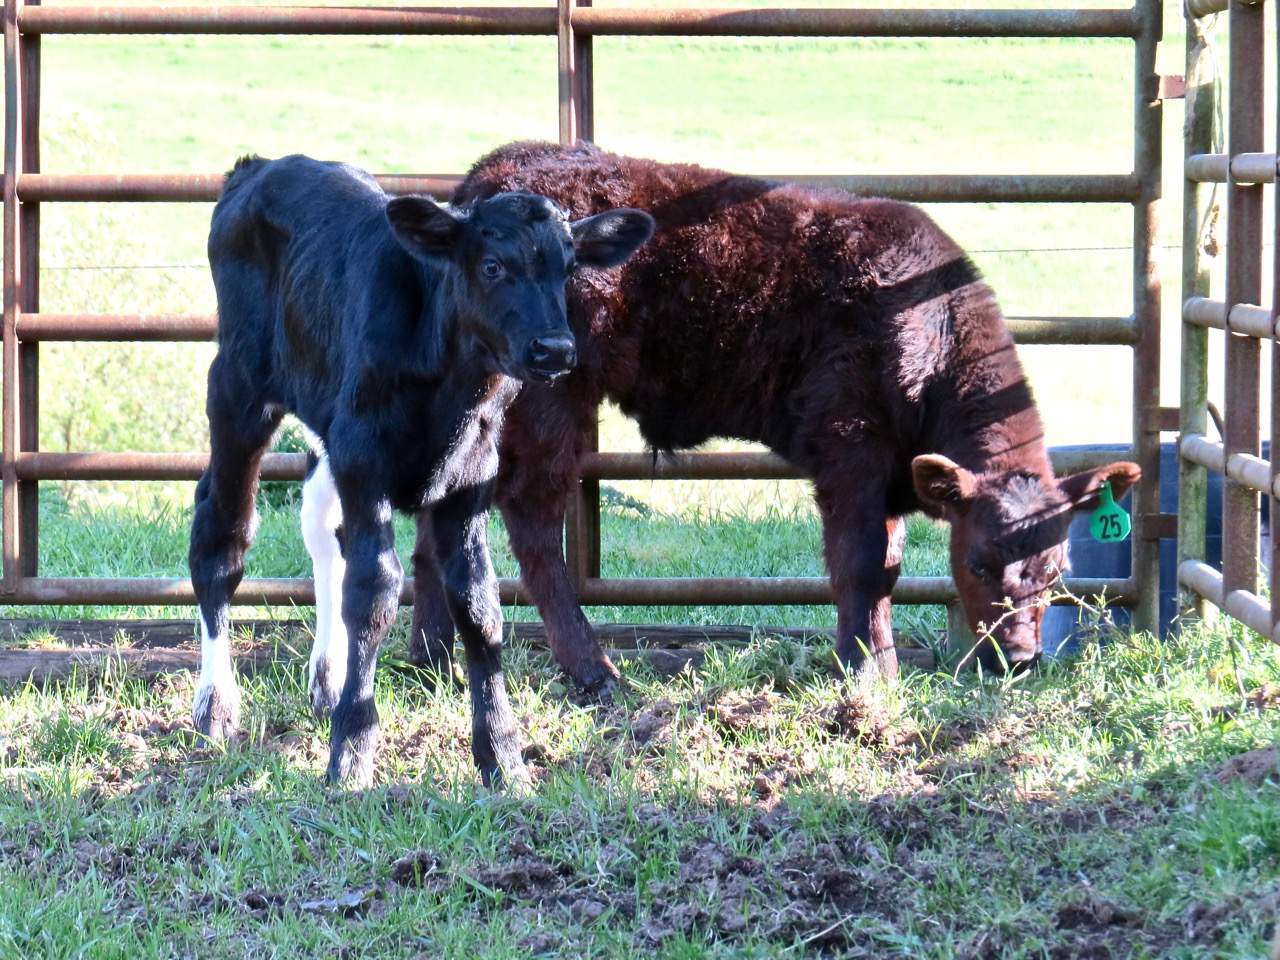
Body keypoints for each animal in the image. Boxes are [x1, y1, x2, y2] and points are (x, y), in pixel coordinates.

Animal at [189, 153, 653, 787]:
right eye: (491, 265)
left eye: (567, 268)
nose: (555, 349)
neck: (450, 385)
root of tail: (259, 166)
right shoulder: (365, 462)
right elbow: (375, 593)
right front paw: (351, 751)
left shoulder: (471, 476)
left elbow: (479, 606)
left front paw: (503, 756)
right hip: (238, 390)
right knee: (221, 538)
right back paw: (216, 706)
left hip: (324, 422)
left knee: (320, 532)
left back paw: (326, 679)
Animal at [403, 141, 1141, 692]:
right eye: (981, 563)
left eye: (1057, 570)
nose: (1018, 659)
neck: (929, 323)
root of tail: (493, 174)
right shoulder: (850, 446)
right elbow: (860, 564)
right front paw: (863, 673)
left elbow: (889, 568)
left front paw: (879, 666)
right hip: (550, 394)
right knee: (531, 515)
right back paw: (592, 670)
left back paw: (434, 662)